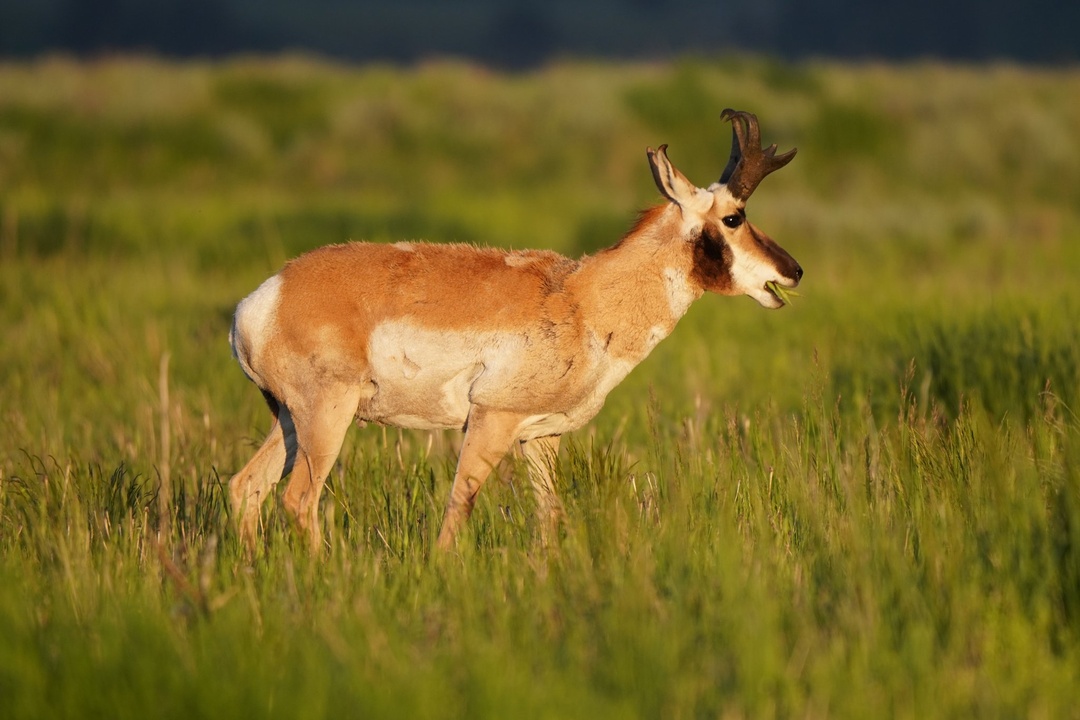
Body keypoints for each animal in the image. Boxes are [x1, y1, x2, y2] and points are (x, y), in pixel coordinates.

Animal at [228, 109, 802, 552]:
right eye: (734, 217)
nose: (794, 271)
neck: (582, 298)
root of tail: (264, 297)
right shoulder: (491, 420)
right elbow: (460, 504)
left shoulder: (540, 436)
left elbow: (550, 513)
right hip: (327, 416)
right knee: (298, 498)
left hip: (289, 420)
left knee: (245, 488)